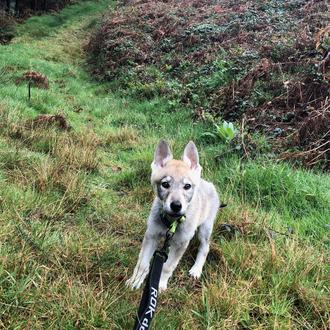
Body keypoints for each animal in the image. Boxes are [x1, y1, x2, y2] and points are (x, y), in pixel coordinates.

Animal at [126, 139, 219, 292]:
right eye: (165, 184)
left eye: (187, 186)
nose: (176, 206)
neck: (172, 222)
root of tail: (207, 183)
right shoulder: (151, 235)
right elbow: (142, 264)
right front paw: (136, 281)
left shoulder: (181, 243)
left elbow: (168, 267)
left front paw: (160, 284)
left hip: (205, 229)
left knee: (205, 248)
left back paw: (196, 270)